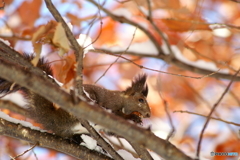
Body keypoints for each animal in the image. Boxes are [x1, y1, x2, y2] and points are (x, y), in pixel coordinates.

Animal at [0, 54, 150, 139]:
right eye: (140, 100)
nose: (148, 114)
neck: (123, 100)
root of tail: (56, 120)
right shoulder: (112, 104)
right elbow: (117, 114)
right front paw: (133, 117)